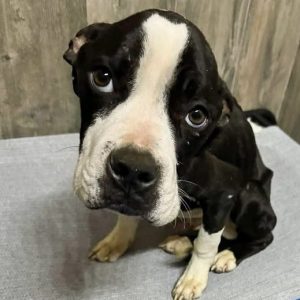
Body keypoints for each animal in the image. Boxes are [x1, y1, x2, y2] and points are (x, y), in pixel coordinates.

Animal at [62, 9, 276, 300]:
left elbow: (207, 245)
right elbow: (126, 216)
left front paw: (193, 279)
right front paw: (118, 241)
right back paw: (182, 242)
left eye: (197, 116)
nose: (133, 169)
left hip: (249, 197)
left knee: (260, 236)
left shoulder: (225, 192)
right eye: (102, 79)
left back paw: (227, 255)